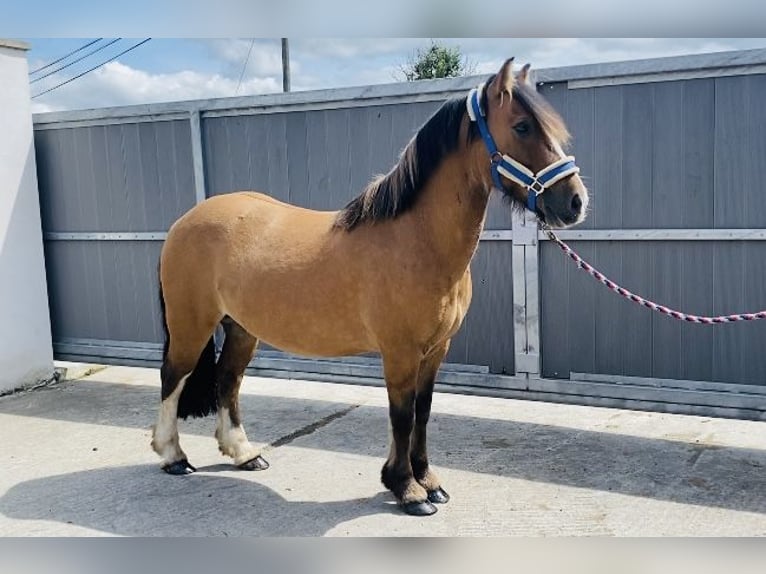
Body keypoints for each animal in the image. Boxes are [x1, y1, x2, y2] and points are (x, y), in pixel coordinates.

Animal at [153, 58, 592, 516]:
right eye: (522, 127)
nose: (576, 202)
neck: (415, 239)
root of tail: (185, 222)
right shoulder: (399, 351)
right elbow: (402, 415)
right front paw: (407, 489)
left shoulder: (437, 350)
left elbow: (422, 412)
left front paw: (427, 481)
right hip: (191, 325)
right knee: (173, 377)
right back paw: (173, 457)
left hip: (241, 329)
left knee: (228, 381)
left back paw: (244, 454)